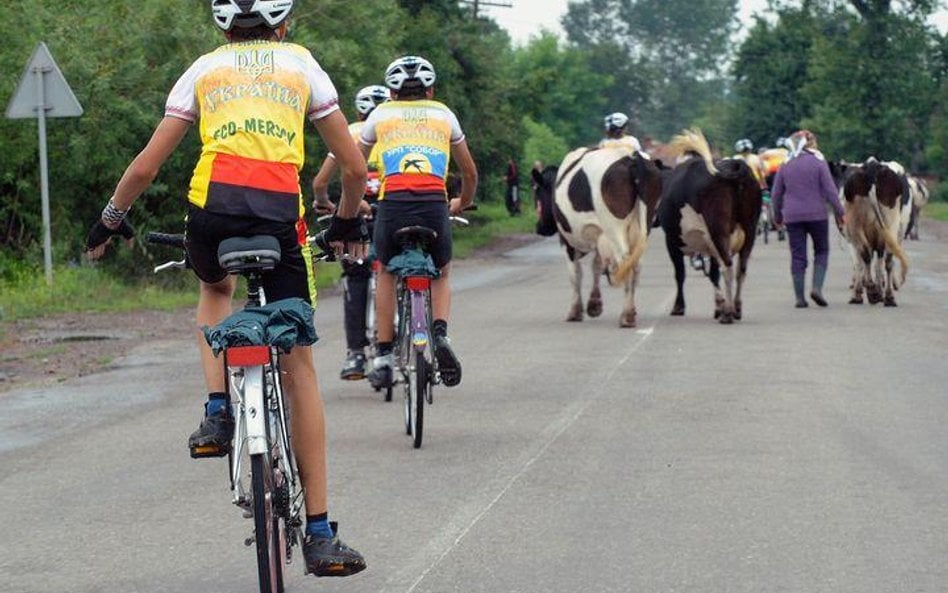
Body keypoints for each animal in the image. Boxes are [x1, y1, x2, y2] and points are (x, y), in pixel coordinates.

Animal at [532, 146, 660, 326]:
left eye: (536, 193)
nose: (539, 227)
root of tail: (632, 157)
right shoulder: (600, 236)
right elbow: (596, 266)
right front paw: (594, 304)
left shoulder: (567, 241)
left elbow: (575, 273)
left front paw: (575, 311)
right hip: (644, 225)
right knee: (636, 265)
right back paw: (631, 312)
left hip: (614, 227)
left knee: (624, 261)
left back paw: (626, 316)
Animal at [660, 128, 764, 324]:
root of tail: (735, 165)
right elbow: (713, 273)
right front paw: (718, 306)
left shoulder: (672, 240)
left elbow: (681, 273)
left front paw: (679, 306)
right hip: (750, 229)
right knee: (741, 269)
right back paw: (736, 308)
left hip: (718, 231)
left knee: (728, 267)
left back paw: (728, 313)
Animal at [844, 157, 912, 306]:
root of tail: (872, 166)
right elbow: (880, 263)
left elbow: (865, 261)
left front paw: (864, 292)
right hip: (892, 224)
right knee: (888, 260)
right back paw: (887, 297)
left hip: (855, 225)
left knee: (864, 254)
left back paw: (870, 291)